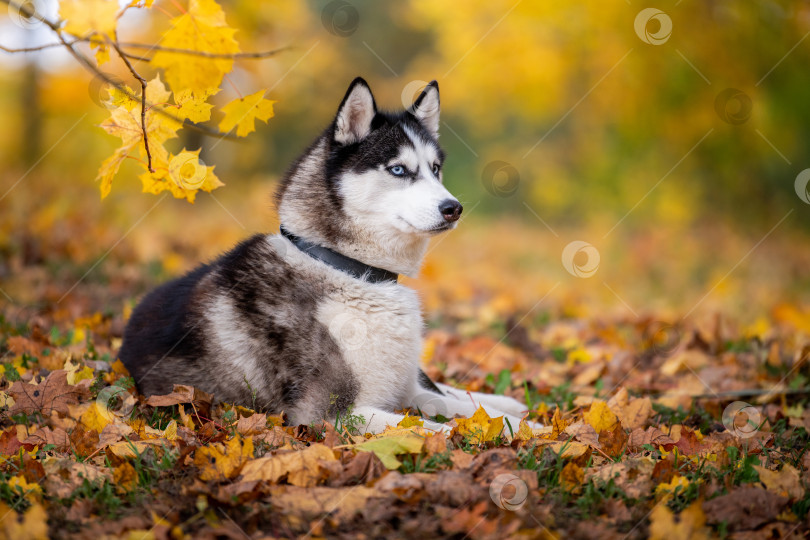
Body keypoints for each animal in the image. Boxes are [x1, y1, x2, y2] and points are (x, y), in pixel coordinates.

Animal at [120, 78, 532, 434]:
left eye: (435, 170)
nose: (454, 209)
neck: (352, 271)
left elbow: (469, 411)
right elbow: (437, 429)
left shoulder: (405, 389)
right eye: (399, 170)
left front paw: (527, 424)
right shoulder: (330, 413)